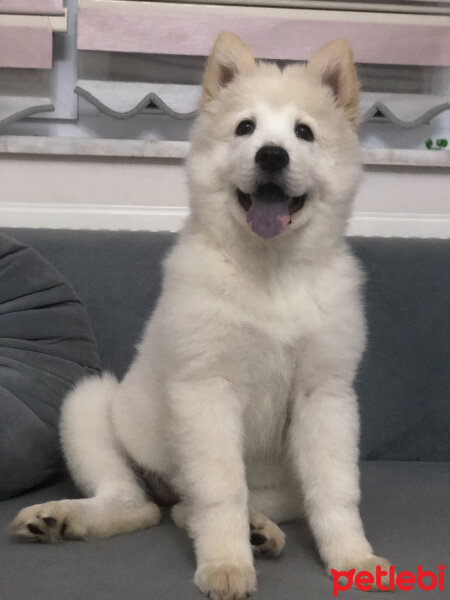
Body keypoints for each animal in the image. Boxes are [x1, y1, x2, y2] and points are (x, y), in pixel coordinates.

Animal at [12, 34, 388, 600]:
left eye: (304, 132)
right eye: (245, 128)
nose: (272, 155)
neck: (271, 274)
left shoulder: (325, 396)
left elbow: (335, 491)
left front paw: (352, 558)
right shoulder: (207, 389)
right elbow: (221, 487)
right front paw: (227, 565)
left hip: (281, 478)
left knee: (192, 509)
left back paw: (259, 530)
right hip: (89, 404)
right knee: (138, 504)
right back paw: (61, 517)